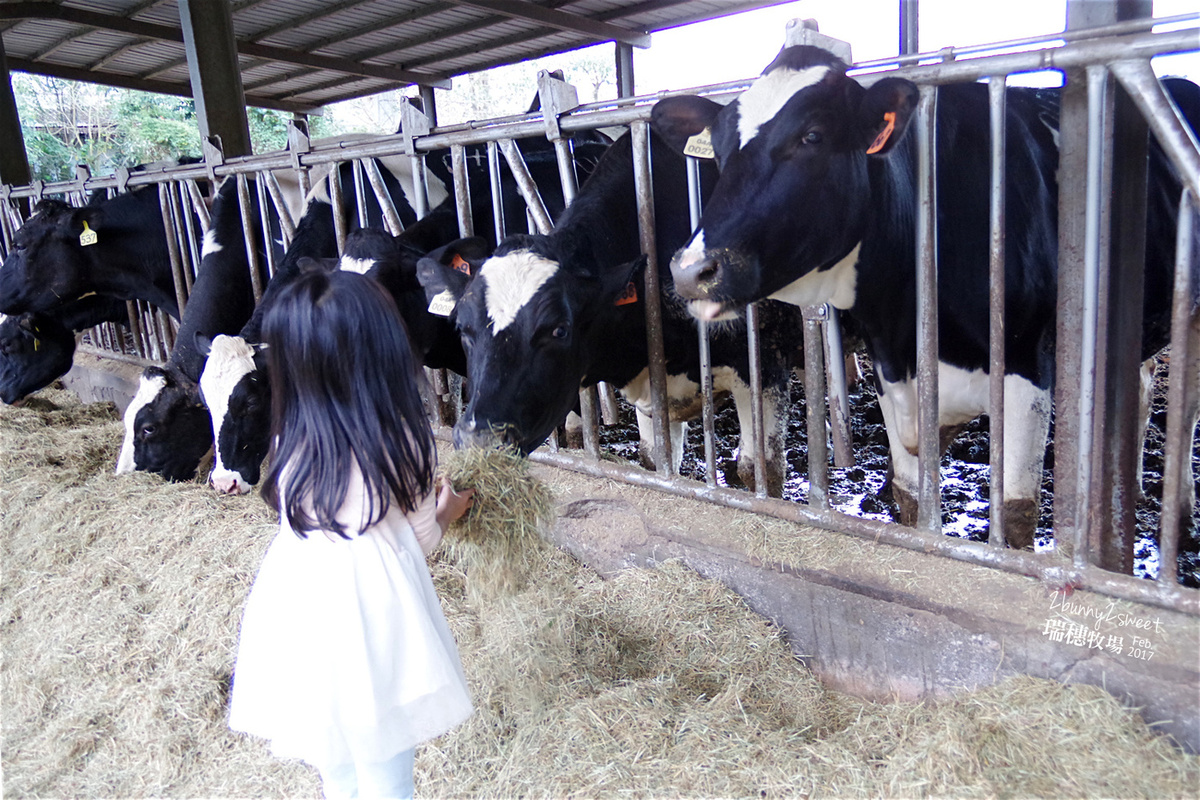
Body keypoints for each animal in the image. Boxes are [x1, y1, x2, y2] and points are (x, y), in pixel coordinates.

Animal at [417, 130, 801, 494]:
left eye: (559, 329)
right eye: (463, 329)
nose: (480, 439)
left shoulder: (764, 364)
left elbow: (760, 471)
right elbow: (657, 459)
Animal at [657, 43, 1200, 544]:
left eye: (812, 135)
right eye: (719, 150)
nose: (690, 270)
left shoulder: (1028, 369)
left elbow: (1015, 516)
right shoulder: (891, 375)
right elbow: (910, 498)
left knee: (1185, 413)